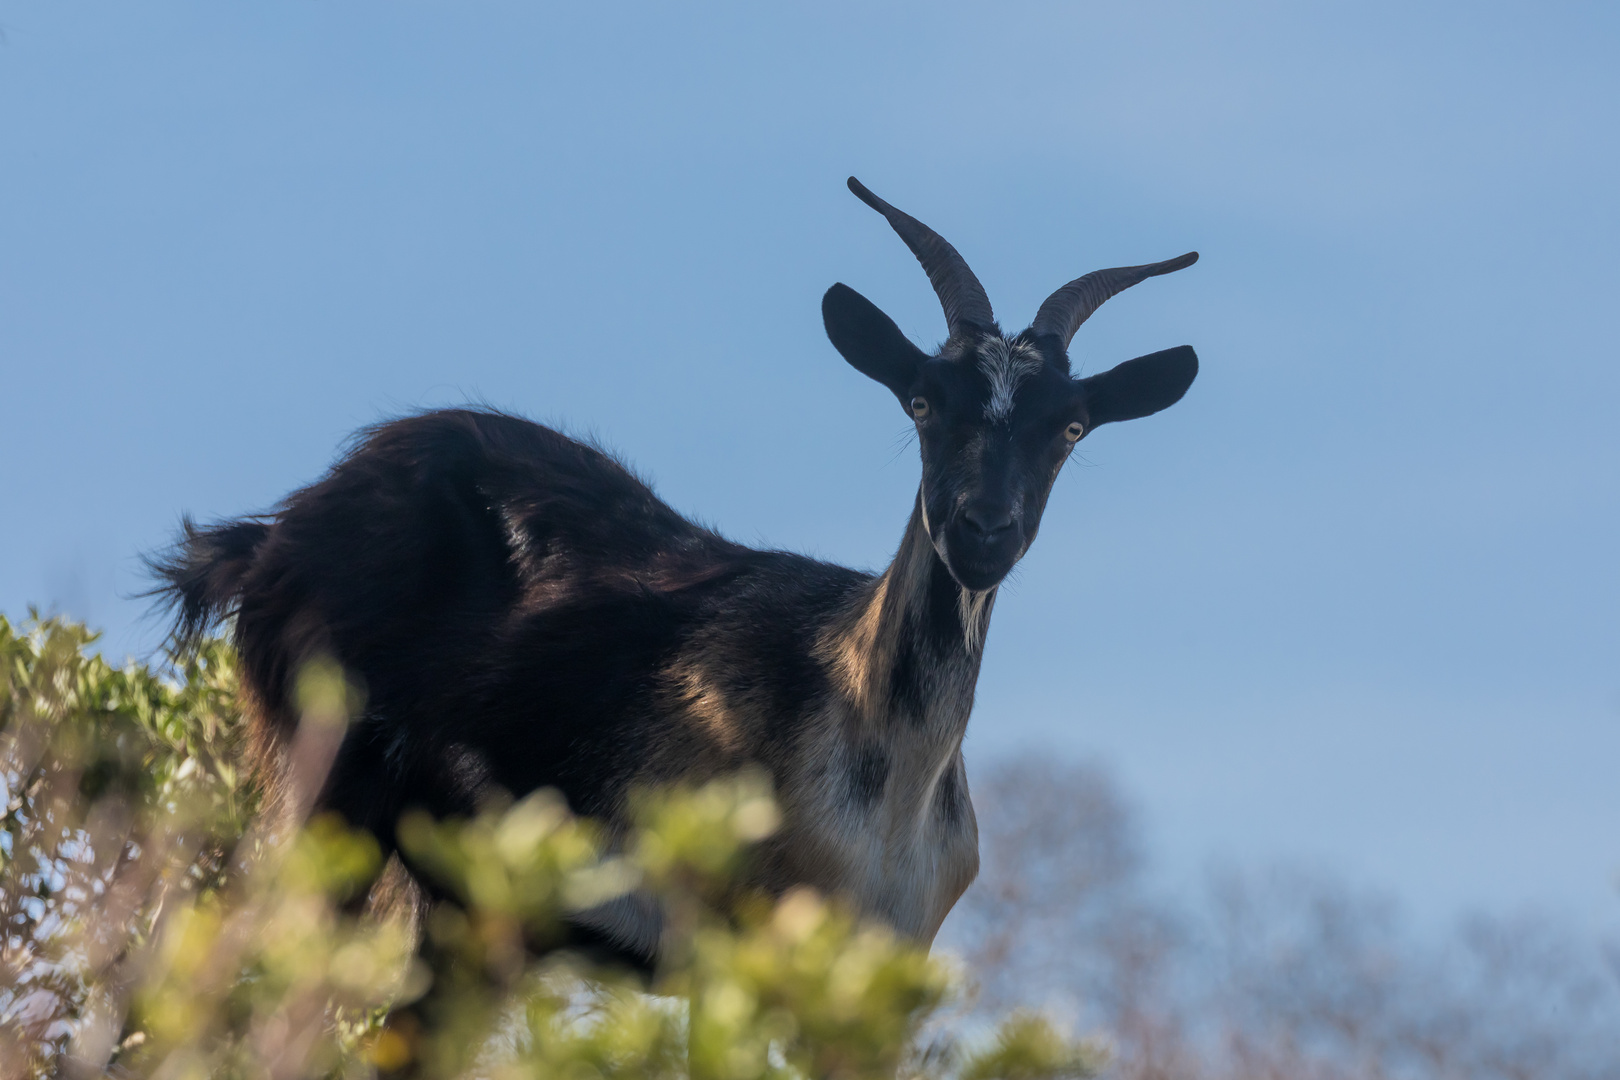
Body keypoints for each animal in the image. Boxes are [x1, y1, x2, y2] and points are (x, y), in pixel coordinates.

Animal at [154, 179, 1192, 971]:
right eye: (924, 402)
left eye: (1069, 427)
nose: (982, 531)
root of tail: (277, 533)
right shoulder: (727, 947)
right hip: (322, 783)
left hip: (460, 903)